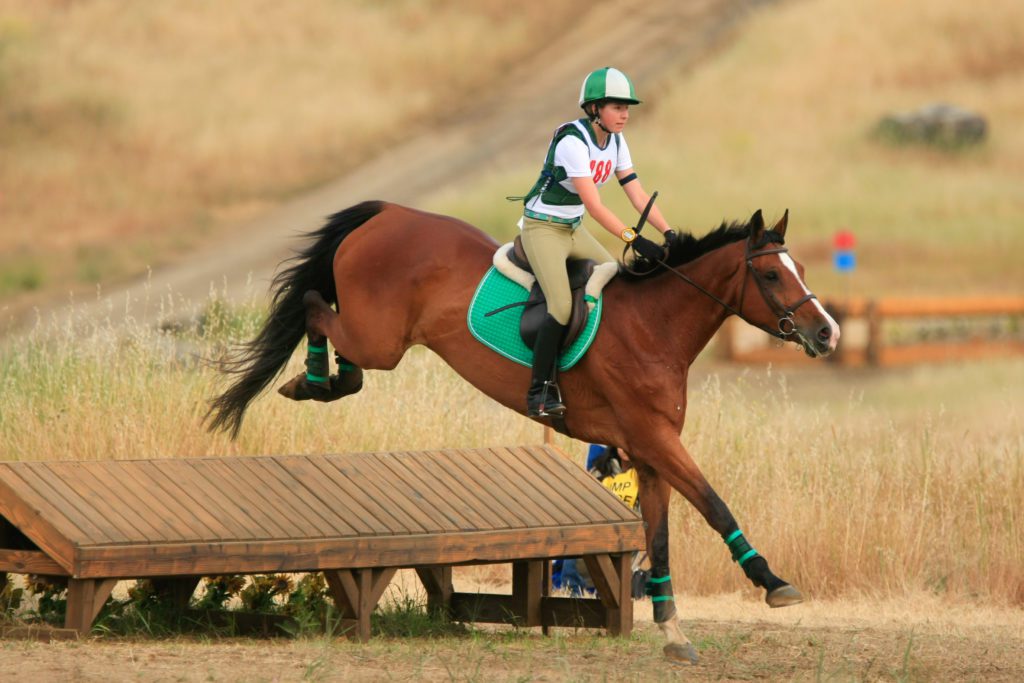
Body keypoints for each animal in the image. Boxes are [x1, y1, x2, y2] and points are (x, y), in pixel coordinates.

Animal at [205, 201, 839, 663]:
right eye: (769, 274)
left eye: (802, 271)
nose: (827, 332)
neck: (654, 324)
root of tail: (389, 212)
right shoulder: (655, 440)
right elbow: (714, 504)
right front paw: (772, 581)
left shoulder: (648, 450)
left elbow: (659, 536)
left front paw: (672, 632)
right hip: (380, 338)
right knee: (316, 305)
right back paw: (312, 379)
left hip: (378, 339)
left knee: (334, 334)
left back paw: (325, 379)